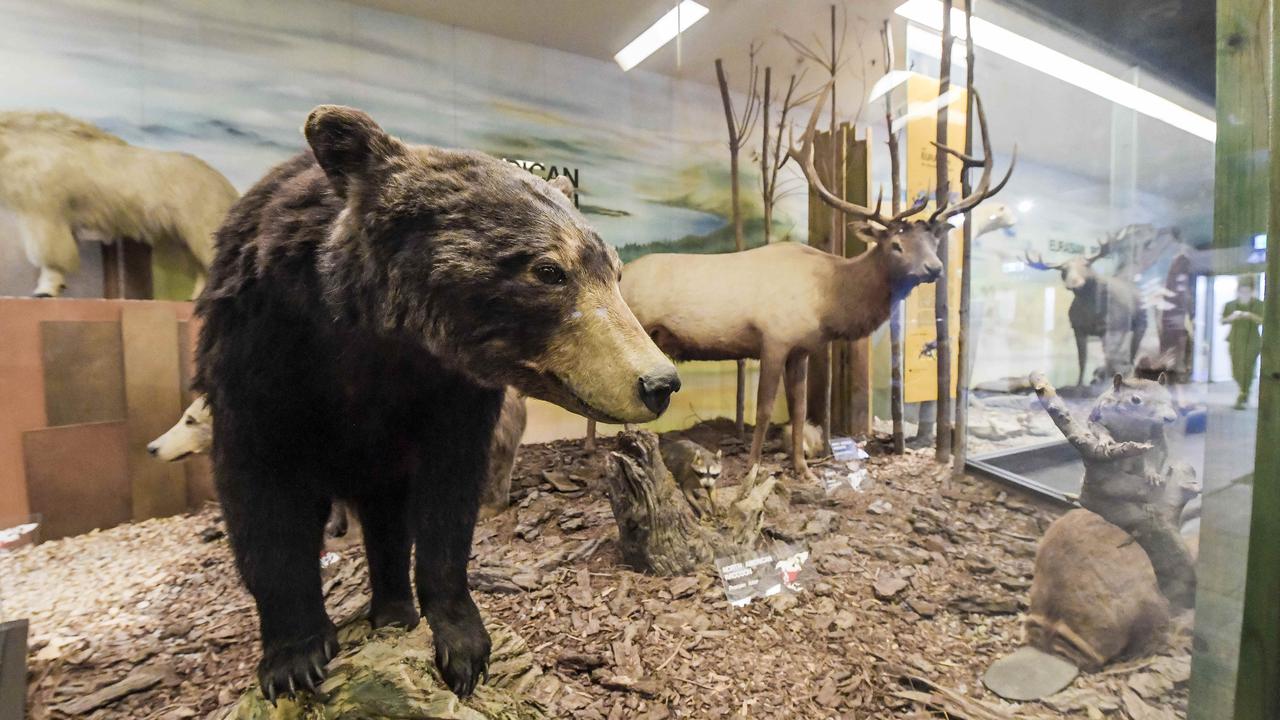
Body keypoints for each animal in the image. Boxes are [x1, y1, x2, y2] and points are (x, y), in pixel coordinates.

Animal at [193, 103, 675, 696]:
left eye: (614, 271)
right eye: (548, 270)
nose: (659, 382)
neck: (373, 334)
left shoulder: (447, 395)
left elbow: (448, 497)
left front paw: (462, 644)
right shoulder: (259, 356)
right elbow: (263, 497)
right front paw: (294, 657)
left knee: (387, 518)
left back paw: (394, 607)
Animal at [609, 83, 1008, 476]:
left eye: (933, 241)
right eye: (895, 244)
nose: (934, 268)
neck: (827, 301)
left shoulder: (801, 348)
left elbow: (799, 410)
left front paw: (803, 468)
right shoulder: (773, 338)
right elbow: (764, 410)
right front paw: (752, 468)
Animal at [1018, 235, 1152, 384]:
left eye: (1086, 264)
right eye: (1063, 270)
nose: (1073, 282)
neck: (1091, 311)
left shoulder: (1114, 325)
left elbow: (1110, 355)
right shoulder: (1078, 328)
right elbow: (1082, 360)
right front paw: (1079, 383)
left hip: (1141, 322)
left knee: (1131, 350)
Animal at [1029, 368, 1198, 604]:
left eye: (1169, 397)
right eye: (1135, 400)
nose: (1170, 417)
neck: (1132, 421)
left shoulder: (1156, 435)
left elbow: (1156, 454)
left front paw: (1152, 475)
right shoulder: (1098, 415)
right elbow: (1098, 429)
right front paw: (1106, 441)